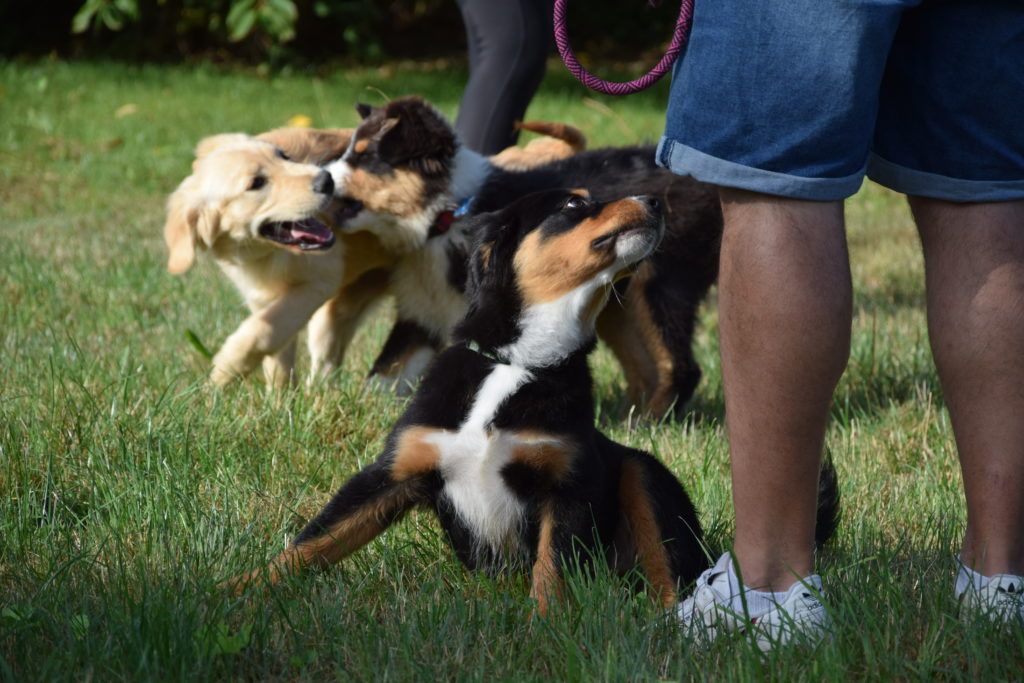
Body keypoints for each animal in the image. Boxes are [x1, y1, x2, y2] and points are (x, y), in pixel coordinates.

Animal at [230, 189, 712, 610]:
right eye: (574, 204)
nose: (655, 200)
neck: (517, 361)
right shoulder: (394, 470)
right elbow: (315, 539)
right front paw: (237, 589)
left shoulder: (568, 484)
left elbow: (552, 569)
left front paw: (546, 626)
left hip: (643, 471)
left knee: (667, 572)